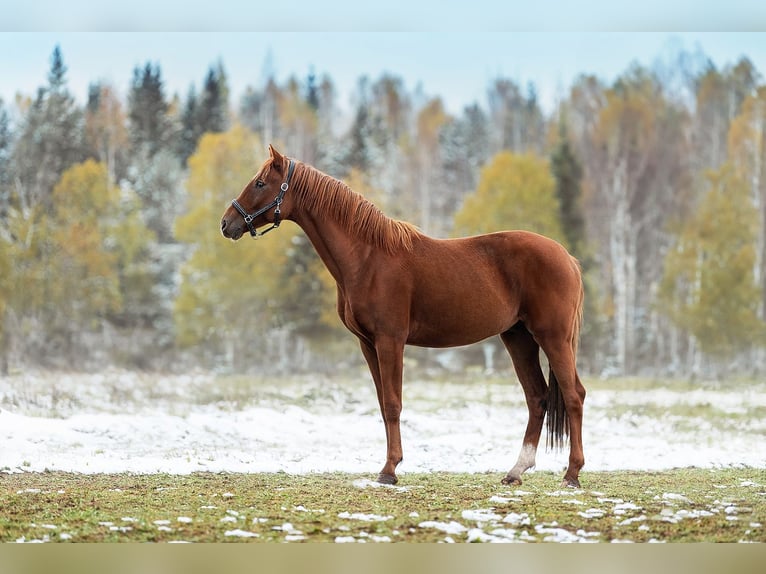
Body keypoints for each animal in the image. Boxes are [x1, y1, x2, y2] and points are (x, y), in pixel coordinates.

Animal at [222, 146, 588, 488]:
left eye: (259, 183)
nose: (227, 223)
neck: (368, 258)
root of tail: (567, 258)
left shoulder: (391, 341)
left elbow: (393, 404)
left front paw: (389, 470)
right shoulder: (368, 344)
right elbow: (383, 403)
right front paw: (389, 466)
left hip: (553, 337)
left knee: (573, 395)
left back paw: (571, 474)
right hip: (518, 337)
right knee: (537, 397)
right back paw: (515, 471)